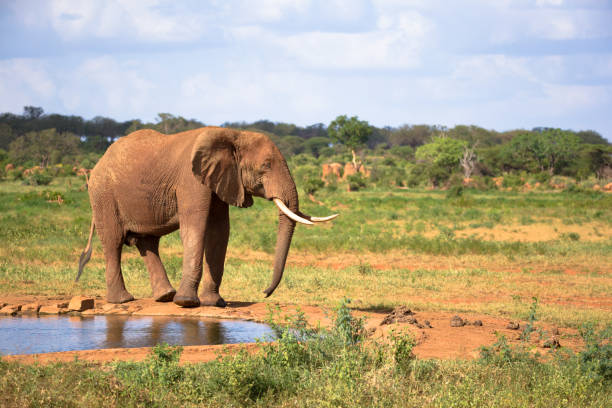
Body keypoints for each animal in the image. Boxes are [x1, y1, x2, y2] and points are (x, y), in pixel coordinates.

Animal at [76, 126, 338, 308]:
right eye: (265, 165)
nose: (264, 292)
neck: (233, 134)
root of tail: (97, 164)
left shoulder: (222, 180)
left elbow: (219, 232)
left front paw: (214, 303)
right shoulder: (192, 181)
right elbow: (195, 228)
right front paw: (187, 303)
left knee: (147, 242)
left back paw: (165, 296)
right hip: (103, 196)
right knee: (113, 242)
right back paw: (123, 300)